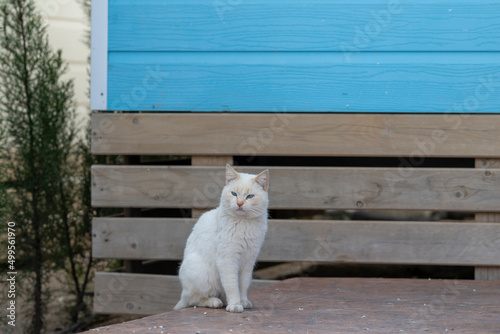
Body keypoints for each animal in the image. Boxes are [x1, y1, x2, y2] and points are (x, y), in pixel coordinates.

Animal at [175, 164, 270, 314]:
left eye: (249, 196)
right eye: (234, 194)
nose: (239, 203)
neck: (244, 223)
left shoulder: (248, 261)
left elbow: (242, 286)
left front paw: (243, 301)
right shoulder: (227, 260)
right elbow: (232, 286)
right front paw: (235, 305)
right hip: (201, 274)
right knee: (193, 300)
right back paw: (215, 302)